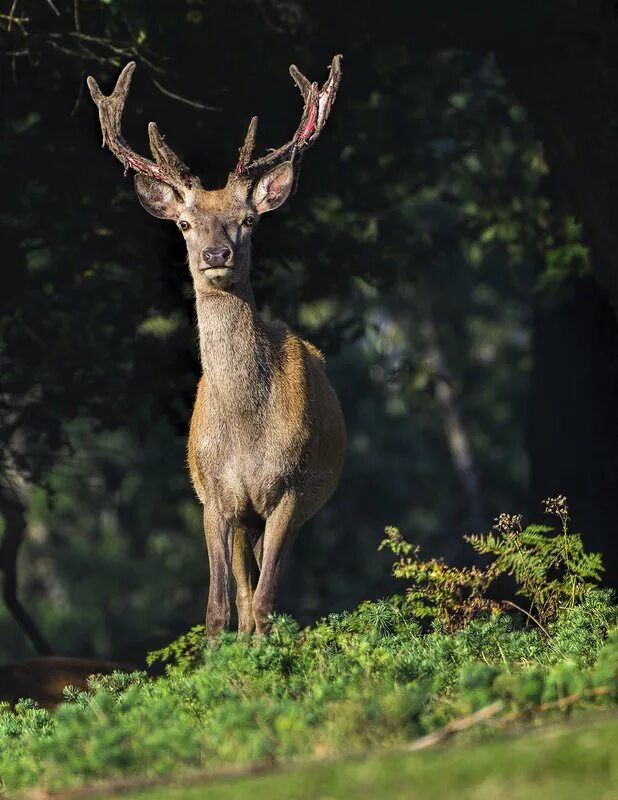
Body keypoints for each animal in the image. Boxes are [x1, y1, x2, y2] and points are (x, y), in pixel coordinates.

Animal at [86, 57, 346, 636]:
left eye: (248, 220)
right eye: (184, 223)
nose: (215, 254)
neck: (247, 435)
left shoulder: (290, 491)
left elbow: (266, 603)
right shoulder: (212, 497)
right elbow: (218, 608)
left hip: (300, 506)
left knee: (266, 593)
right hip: (241, 517)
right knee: (244, 596)